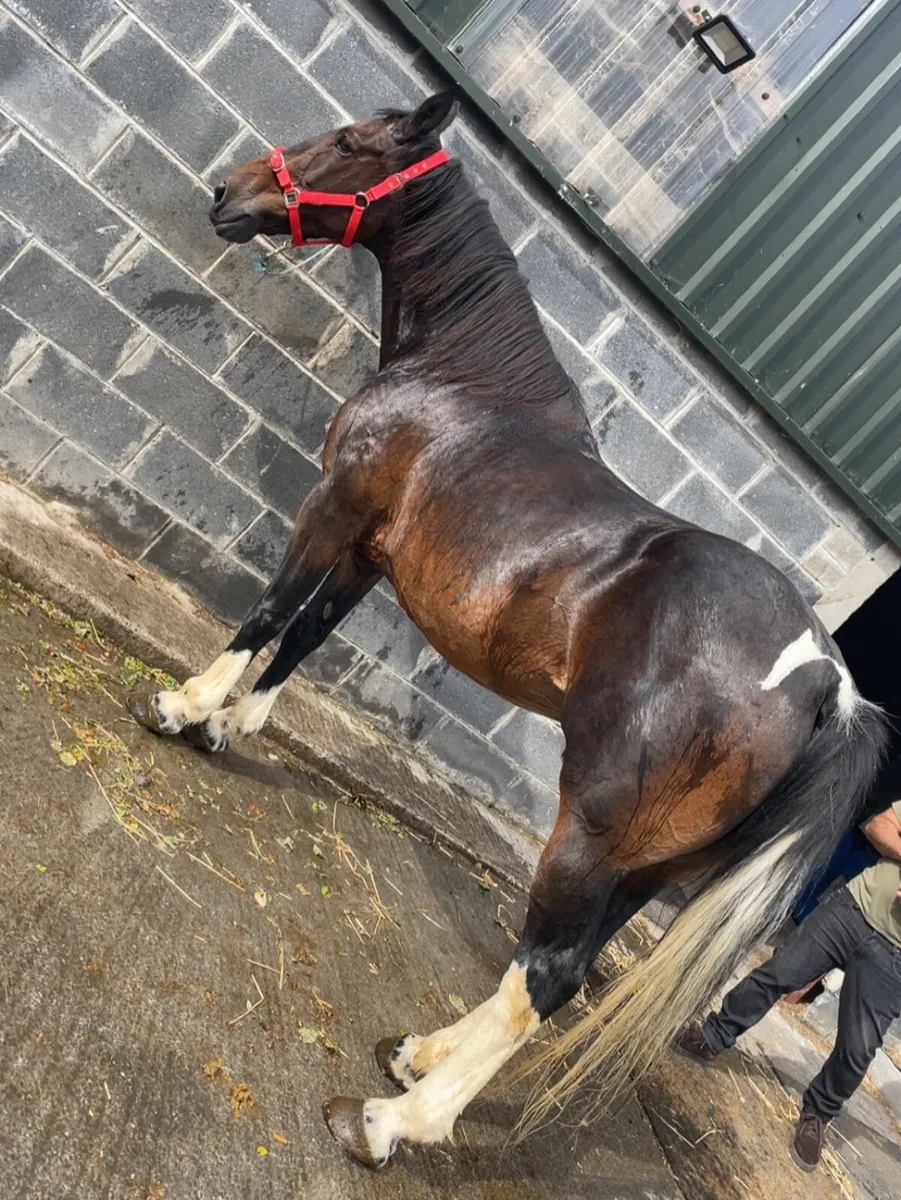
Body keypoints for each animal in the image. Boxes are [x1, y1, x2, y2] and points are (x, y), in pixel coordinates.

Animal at [126, 91, 888, 1169]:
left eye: (356, 141)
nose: (227, 194)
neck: (462, 380)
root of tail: (825, 683)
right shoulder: (372, 550)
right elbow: (308, 638)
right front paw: (233, 726)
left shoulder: (333, 505)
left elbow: (271, 611)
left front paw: (182, 706)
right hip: (646, 870)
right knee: (547, 977)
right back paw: (418, 1054)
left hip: (588, 842)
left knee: (550, 976)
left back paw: (393, 1119)